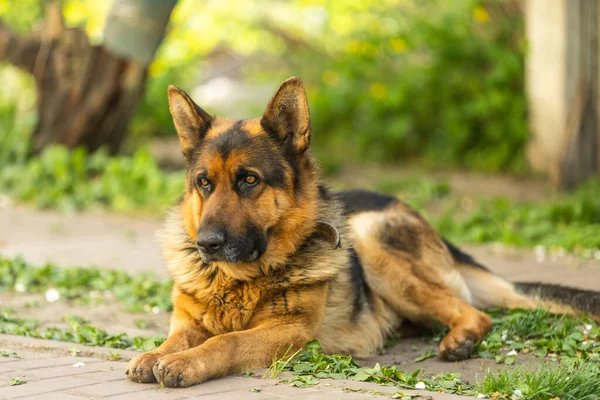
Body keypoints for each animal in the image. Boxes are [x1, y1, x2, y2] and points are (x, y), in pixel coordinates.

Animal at [126, 76, 600, 386]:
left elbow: (226, 343)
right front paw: (155, 354)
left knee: (475, 313)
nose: (206, 245)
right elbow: (177, 338)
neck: (239, 279)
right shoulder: (189, 321)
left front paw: (186, 363)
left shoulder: (288, 333)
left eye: (249, 180)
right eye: (204, 183)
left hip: (372, 241)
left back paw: (459, 340)